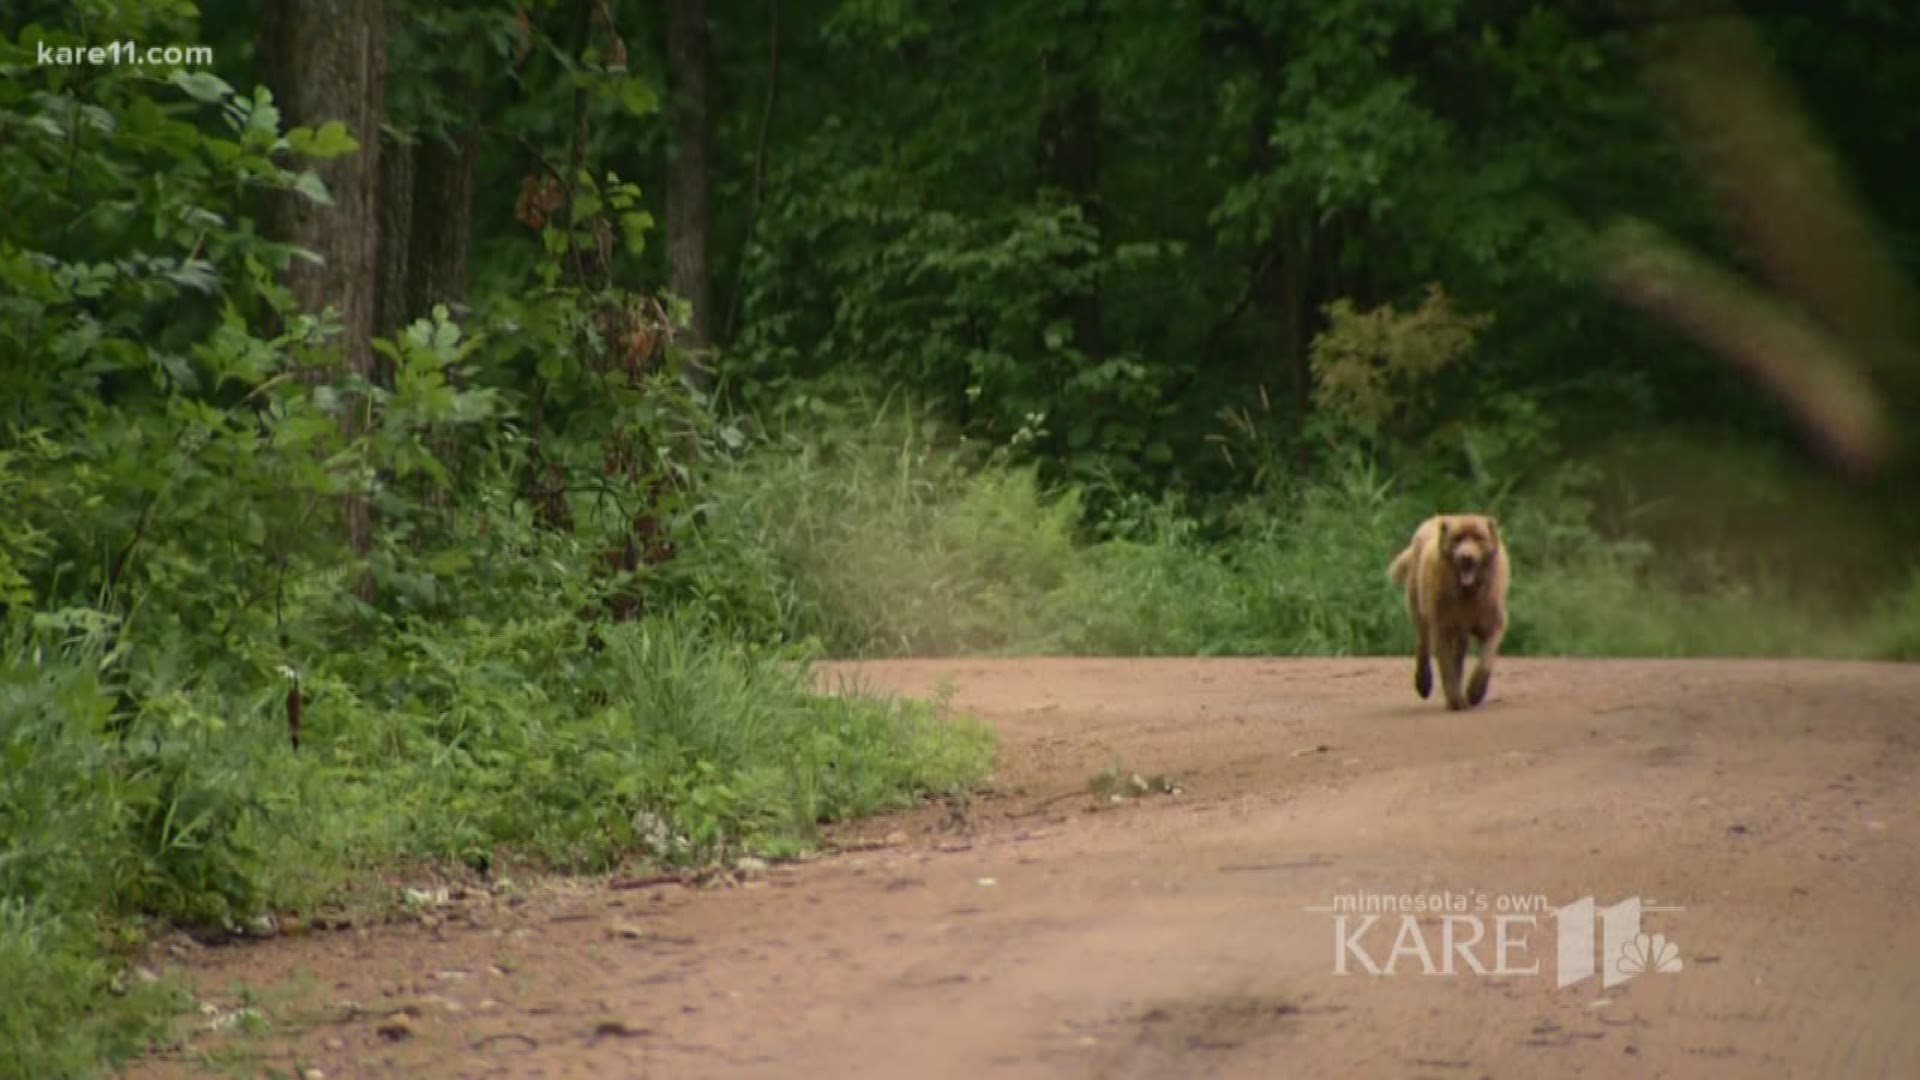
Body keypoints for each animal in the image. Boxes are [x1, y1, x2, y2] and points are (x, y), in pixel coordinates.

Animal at [1390, 511, 1505, 707]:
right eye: (1457, 538)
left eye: (1479, 537)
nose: (1466, 557)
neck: (1467, 594)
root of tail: (1433, 520)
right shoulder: (1443, 628)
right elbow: (1446, 668)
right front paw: (1456, 700)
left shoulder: (1493, 624)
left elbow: (1485, 660)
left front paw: (1475, 692)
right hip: (1420, 610)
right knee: (1423, 645)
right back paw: (1423, 683)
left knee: (1458, 654)